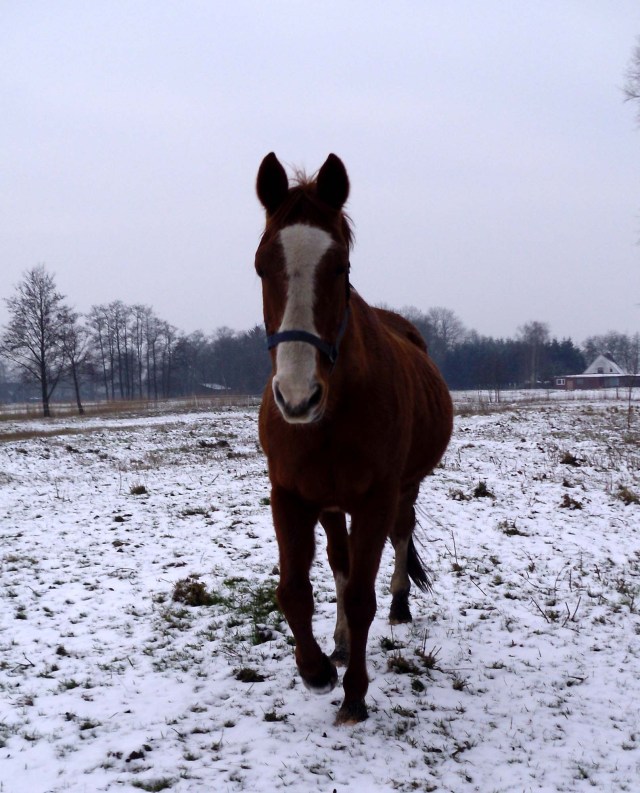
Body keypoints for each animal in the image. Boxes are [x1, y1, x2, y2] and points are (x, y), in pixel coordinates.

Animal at [254, 152, 453, 724]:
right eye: (261, 266)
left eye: (339, 266)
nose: (298, 397)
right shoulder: (292, 496)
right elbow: (296, 590)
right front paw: (318, 669)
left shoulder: (376, 497)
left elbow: (363, 593)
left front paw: (356, 695)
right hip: (329, 503)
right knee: (339, 565)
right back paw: (340, 645)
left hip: (405, 488)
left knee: (401, 536)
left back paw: (399, 605)